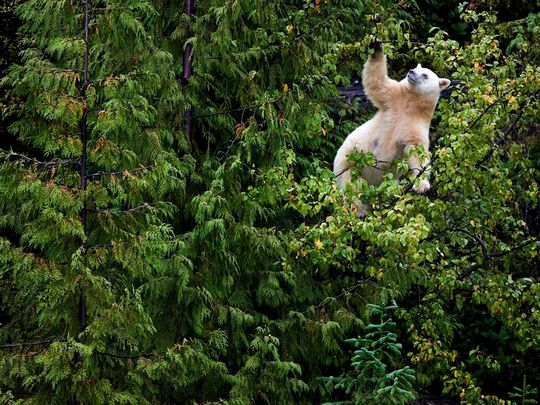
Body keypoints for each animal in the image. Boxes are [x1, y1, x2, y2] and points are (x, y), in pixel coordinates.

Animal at [336, 43, 450, 213]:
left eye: (425, 75)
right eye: (415, 68)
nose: (411, 72)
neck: (410, 105)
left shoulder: (416, 126)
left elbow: (418, 152)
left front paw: (422, 186)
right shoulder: (392, 99)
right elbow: (376, 83)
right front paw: (376, 47)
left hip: (386, 182)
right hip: (348, 162)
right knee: (351, 185)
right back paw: (359, 210)